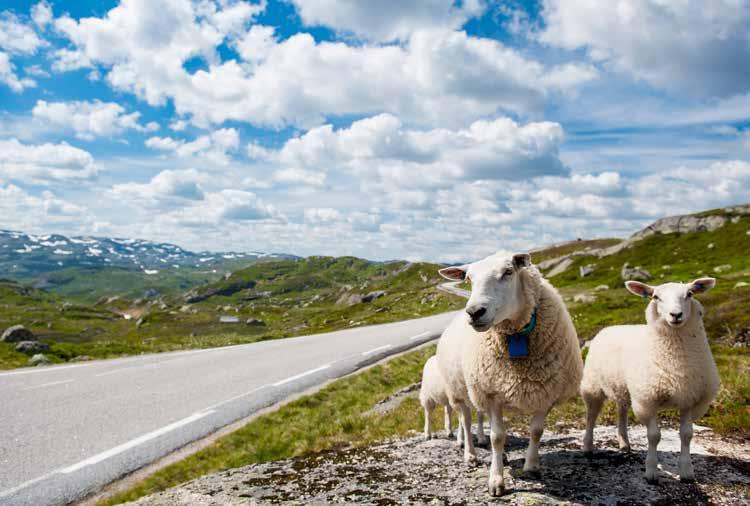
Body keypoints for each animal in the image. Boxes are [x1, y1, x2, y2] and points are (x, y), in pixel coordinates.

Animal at [438, 251, 584, 496]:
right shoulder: (491, 394)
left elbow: (536, 431)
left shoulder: (547, 392)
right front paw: (496, 480)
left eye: (508, 272)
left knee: (478, 417)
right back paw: (470, 453)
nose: (474, 312)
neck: (516, 336)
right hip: (460, 390)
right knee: (465, 421)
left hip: (475, 389)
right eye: (468, 279)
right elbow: (497, 437)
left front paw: (531, 467)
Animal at [580, 280, 724, 482]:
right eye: (656, 297)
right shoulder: (647, 400)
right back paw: (588, 446)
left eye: (689, 294)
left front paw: (687, 471)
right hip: (593, 386)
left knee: (621, 411)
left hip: (623, 387)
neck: (676, 361)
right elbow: (654, 436)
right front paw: (651, 471)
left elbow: (687, 435)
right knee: (591, 416)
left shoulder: (689, 398)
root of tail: (611, 327)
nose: (676, 315)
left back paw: (624, 443)